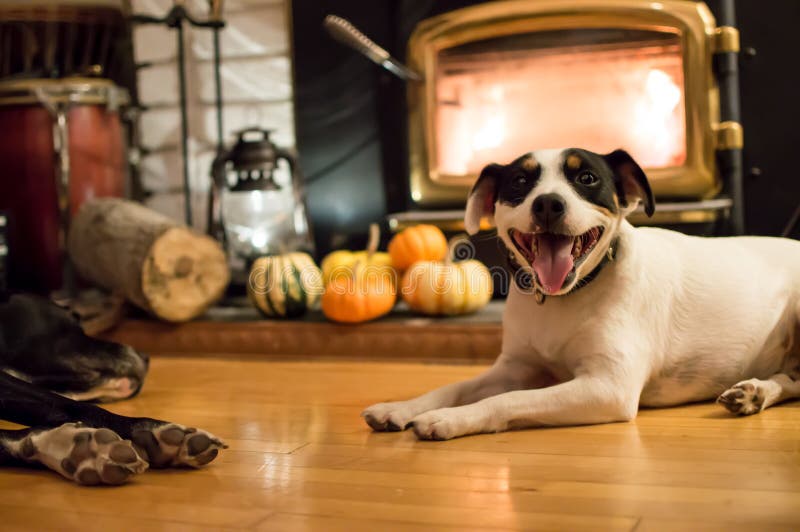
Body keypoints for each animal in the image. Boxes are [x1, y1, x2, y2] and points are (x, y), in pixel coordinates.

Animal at [362, 147, 800, 440]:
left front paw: (451, 419)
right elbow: (451, 387)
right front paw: (400, 407)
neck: (563, 299)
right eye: (520, 182)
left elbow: (508, 401)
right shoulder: (516, 368)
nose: (548, 204)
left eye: (586, 179)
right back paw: (754, 394)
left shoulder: (608, 387)